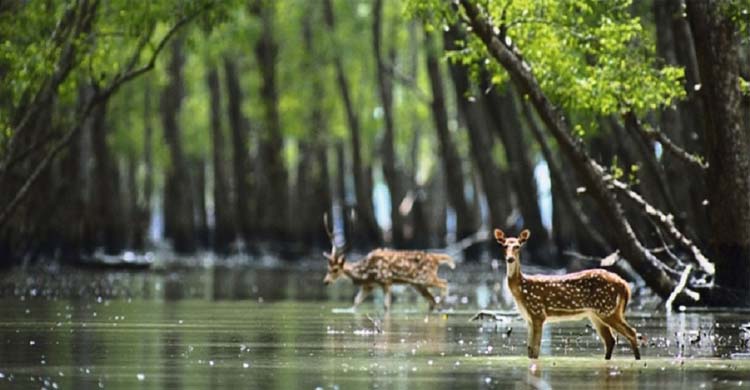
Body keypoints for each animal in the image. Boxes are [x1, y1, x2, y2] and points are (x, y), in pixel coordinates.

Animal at [322, 213, 456, 310]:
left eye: (335, 269)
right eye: (327, 269)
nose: (326, 281)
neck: (365, 272)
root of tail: (436, 258)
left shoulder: (386, 280)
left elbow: (386, 306)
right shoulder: (368, 286)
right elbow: (355, 303)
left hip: (425, 277)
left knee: (444, 283)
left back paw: (442, 302)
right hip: (418, 284)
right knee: (431, 299)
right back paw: (437, 307)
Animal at [496, 229, 644, 360]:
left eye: (517, 246)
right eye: (504, 245)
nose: (510, 259)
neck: (522, 289)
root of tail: (624, 285)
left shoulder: (538, 313)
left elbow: (535, 351)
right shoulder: (529, 318)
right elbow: (530, 350)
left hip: (607, 309)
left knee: (631, 333)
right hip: (597, 313)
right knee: (611, 340)